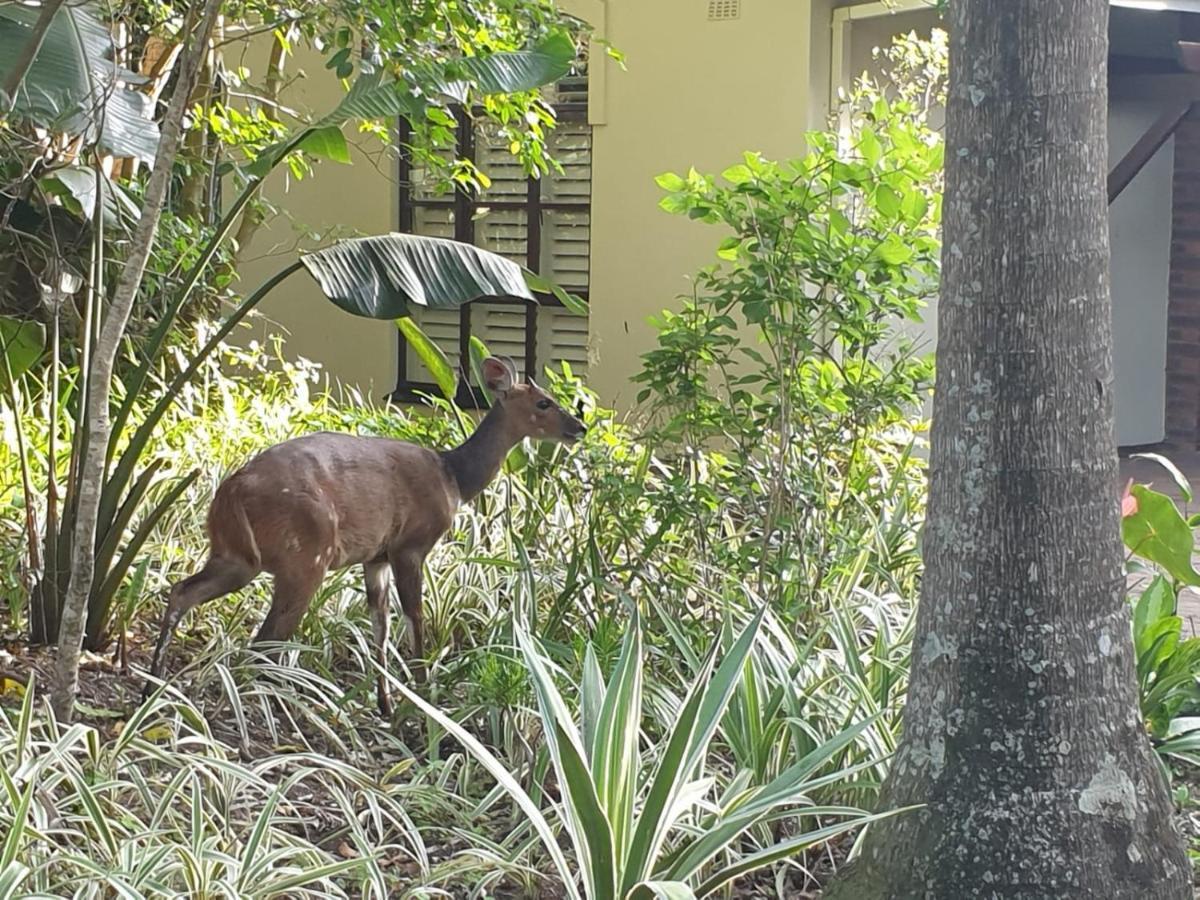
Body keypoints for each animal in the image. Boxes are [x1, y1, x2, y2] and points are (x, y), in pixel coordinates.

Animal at [145, 355, 585, 715]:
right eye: (544, 402)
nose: (579, 427)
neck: (453, 477)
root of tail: (231, 491)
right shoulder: (411, 545)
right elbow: (415, 616)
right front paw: (422, 695)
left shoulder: (376, 557)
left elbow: (381, 626)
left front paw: (386, 705)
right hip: (305, 556)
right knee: (265, 640)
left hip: (235, 555)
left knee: (183, 591)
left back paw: (155, 678)